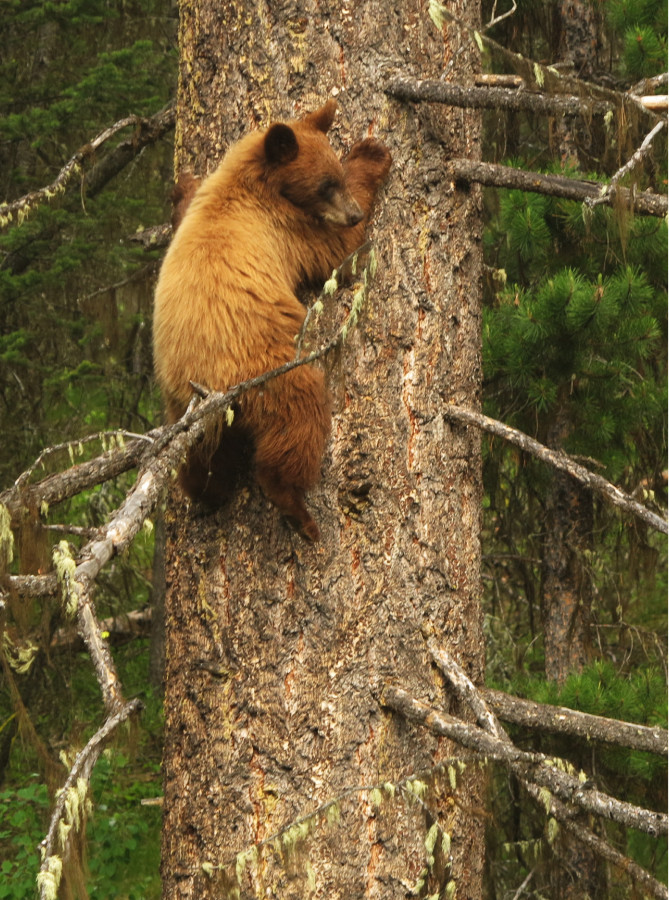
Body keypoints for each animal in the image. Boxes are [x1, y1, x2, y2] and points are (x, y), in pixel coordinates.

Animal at [153, 103, 388, 540]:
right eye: (327, 183)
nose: (353, 214)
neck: (252, 182)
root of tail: (208, 391)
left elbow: (185, 202)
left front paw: (181, 185)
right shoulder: (288, 228)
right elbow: (340, 253)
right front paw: (371, 154)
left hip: (180, 410)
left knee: (202, 461)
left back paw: (208, 495)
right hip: (268, 374)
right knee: (300, 419)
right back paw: (298, 510)